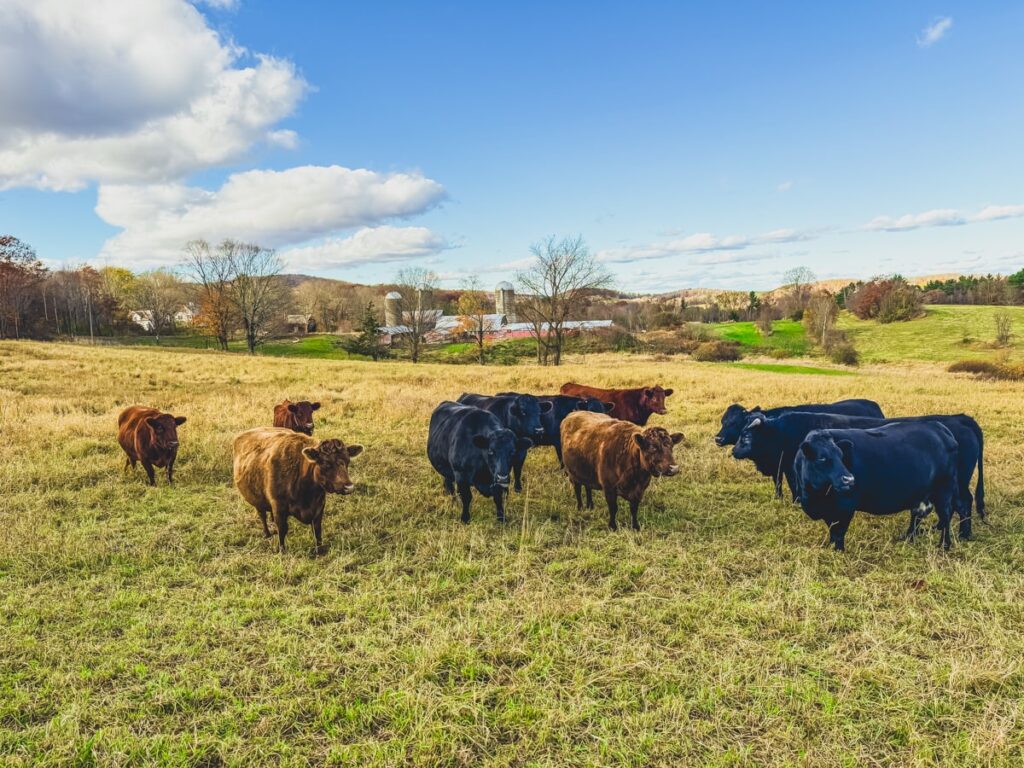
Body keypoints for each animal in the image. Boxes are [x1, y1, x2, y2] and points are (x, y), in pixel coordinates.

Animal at [232, 427, 363, 553]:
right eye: (326, 463)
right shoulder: (278, 506)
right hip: (257, 501)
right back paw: (267, 534)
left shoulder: (319, 506)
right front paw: (282, 550)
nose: (348, 487)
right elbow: (282, 529)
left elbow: (317, 529)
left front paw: (319, 549)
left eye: (348, 461)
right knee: (262, 516)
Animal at [733, 411, 985, 538]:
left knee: (962, 504)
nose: (734, 450)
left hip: (956, 485)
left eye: (745, 435)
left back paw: (963, 534)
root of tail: (961, 419)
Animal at [794, 423, 959, 551]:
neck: (814, 496)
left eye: (841, 456)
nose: (849, 479)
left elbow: (838, 533)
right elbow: (832, 531)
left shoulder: (845, 507)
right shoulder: (829, 511)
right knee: (917, 514)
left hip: (943, 489)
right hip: (921, 492)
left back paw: (944, 545)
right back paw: (908, 538)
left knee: (945, 515)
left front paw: (838, 552)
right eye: (821, 458)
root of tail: (939, 427)